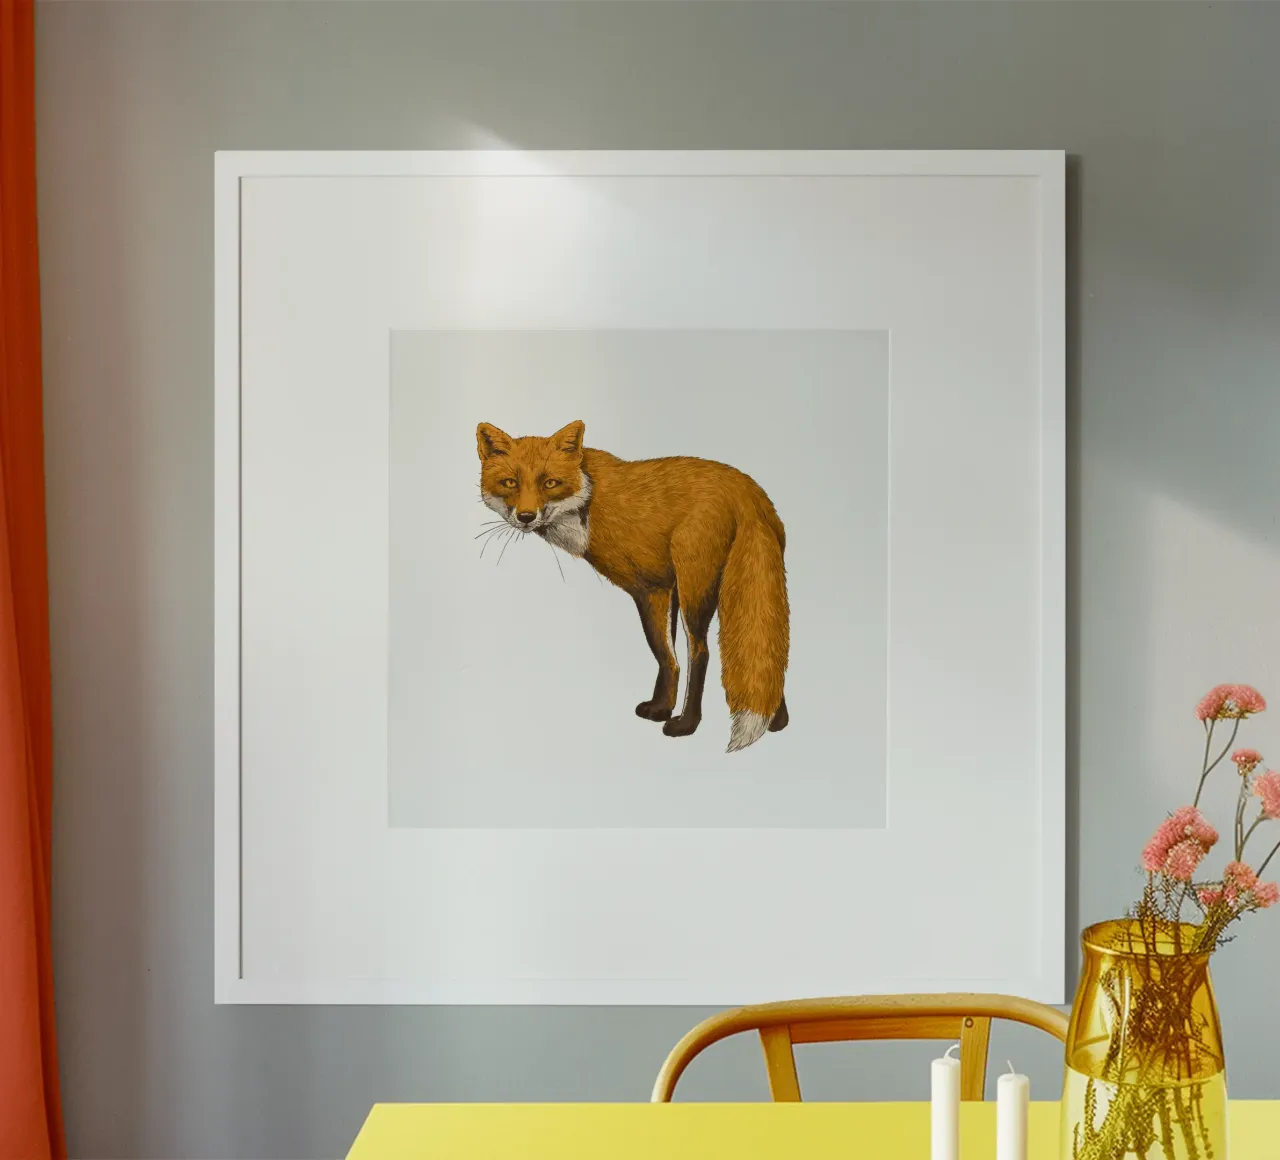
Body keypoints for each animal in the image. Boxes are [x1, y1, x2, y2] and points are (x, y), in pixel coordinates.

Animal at [476, 419, 790, 752]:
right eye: (510, 483)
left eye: (550, 483)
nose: (526, 517)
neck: (589, 503)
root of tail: (750, 492)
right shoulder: (666, 588)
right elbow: (667, 658)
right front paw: (660, 707)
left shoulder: (651, 588)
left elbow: (667, 654)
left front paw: (670, 715)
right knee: (772, 651)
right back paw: (777, 721)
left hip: (696, 591)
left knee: (701, 652)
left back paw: (687, 724)